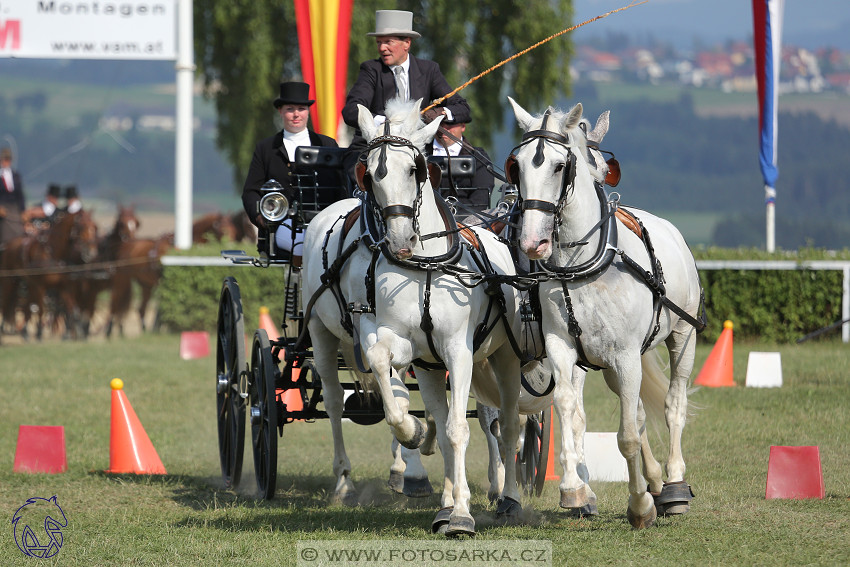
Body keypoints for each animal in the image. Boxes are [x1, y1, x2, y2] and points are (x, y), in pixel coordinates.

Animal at [298, 97, 524, 536]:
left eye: (415, 169)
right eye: (369, 173)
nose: (400, 239)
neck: (425, 264)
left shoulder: (459, 351)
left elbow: (458, 426)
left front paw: (462, 512)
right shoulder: (392, 336)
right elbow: (386, 372)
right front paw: (412, 433)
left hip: (501, 356)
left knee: (503, 421)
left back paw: (507, 496)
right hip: (321, 330)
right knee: (333, 401)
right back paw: (347, 481)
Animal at [506, 97, 700, 528]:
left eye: (559, 165)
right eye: (518, 165)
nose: (531, 242)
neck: (579, 264)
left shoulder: (626, 354)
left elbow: (626, 434)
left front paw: (640, 506)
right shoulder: (563, 347)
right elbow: (567, 408)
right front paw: (574, 490)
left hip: (683, 336)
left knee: (673, 405)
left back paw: (674, 486)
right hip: (613, 364)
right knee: (639, 414)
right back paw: (656, 481)